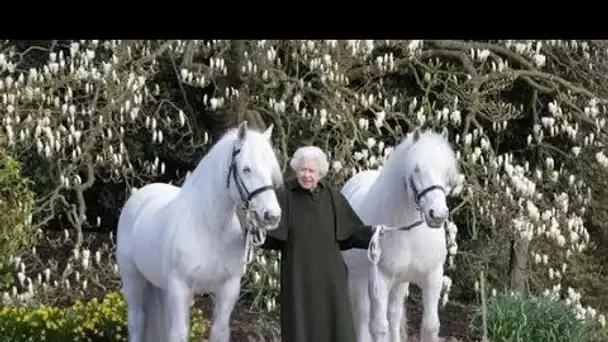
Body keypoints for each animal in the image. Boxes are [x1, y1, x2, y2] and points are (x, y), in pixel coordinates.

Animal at [115, 121, 284, 342]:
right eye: (246, 168)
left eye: (271, 170)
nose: (272, 215)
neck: (210, 229)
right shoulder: (180, 288)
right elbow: (178, 333)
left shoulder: (228, 289)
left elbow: (219, 332)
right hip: (133, 280)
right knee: (137, 320)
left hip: (160, 286)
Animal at [344, 127, 458, 342]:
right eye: (416, 169)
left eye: (446, 172)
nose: (437, 214)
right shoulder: (379, 280)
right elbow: (379, 328)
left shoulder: (432, 276)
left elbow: (430, 325)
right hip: (358, 278)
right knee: (362, 316)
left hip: (399, 283)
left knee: (394, 314)